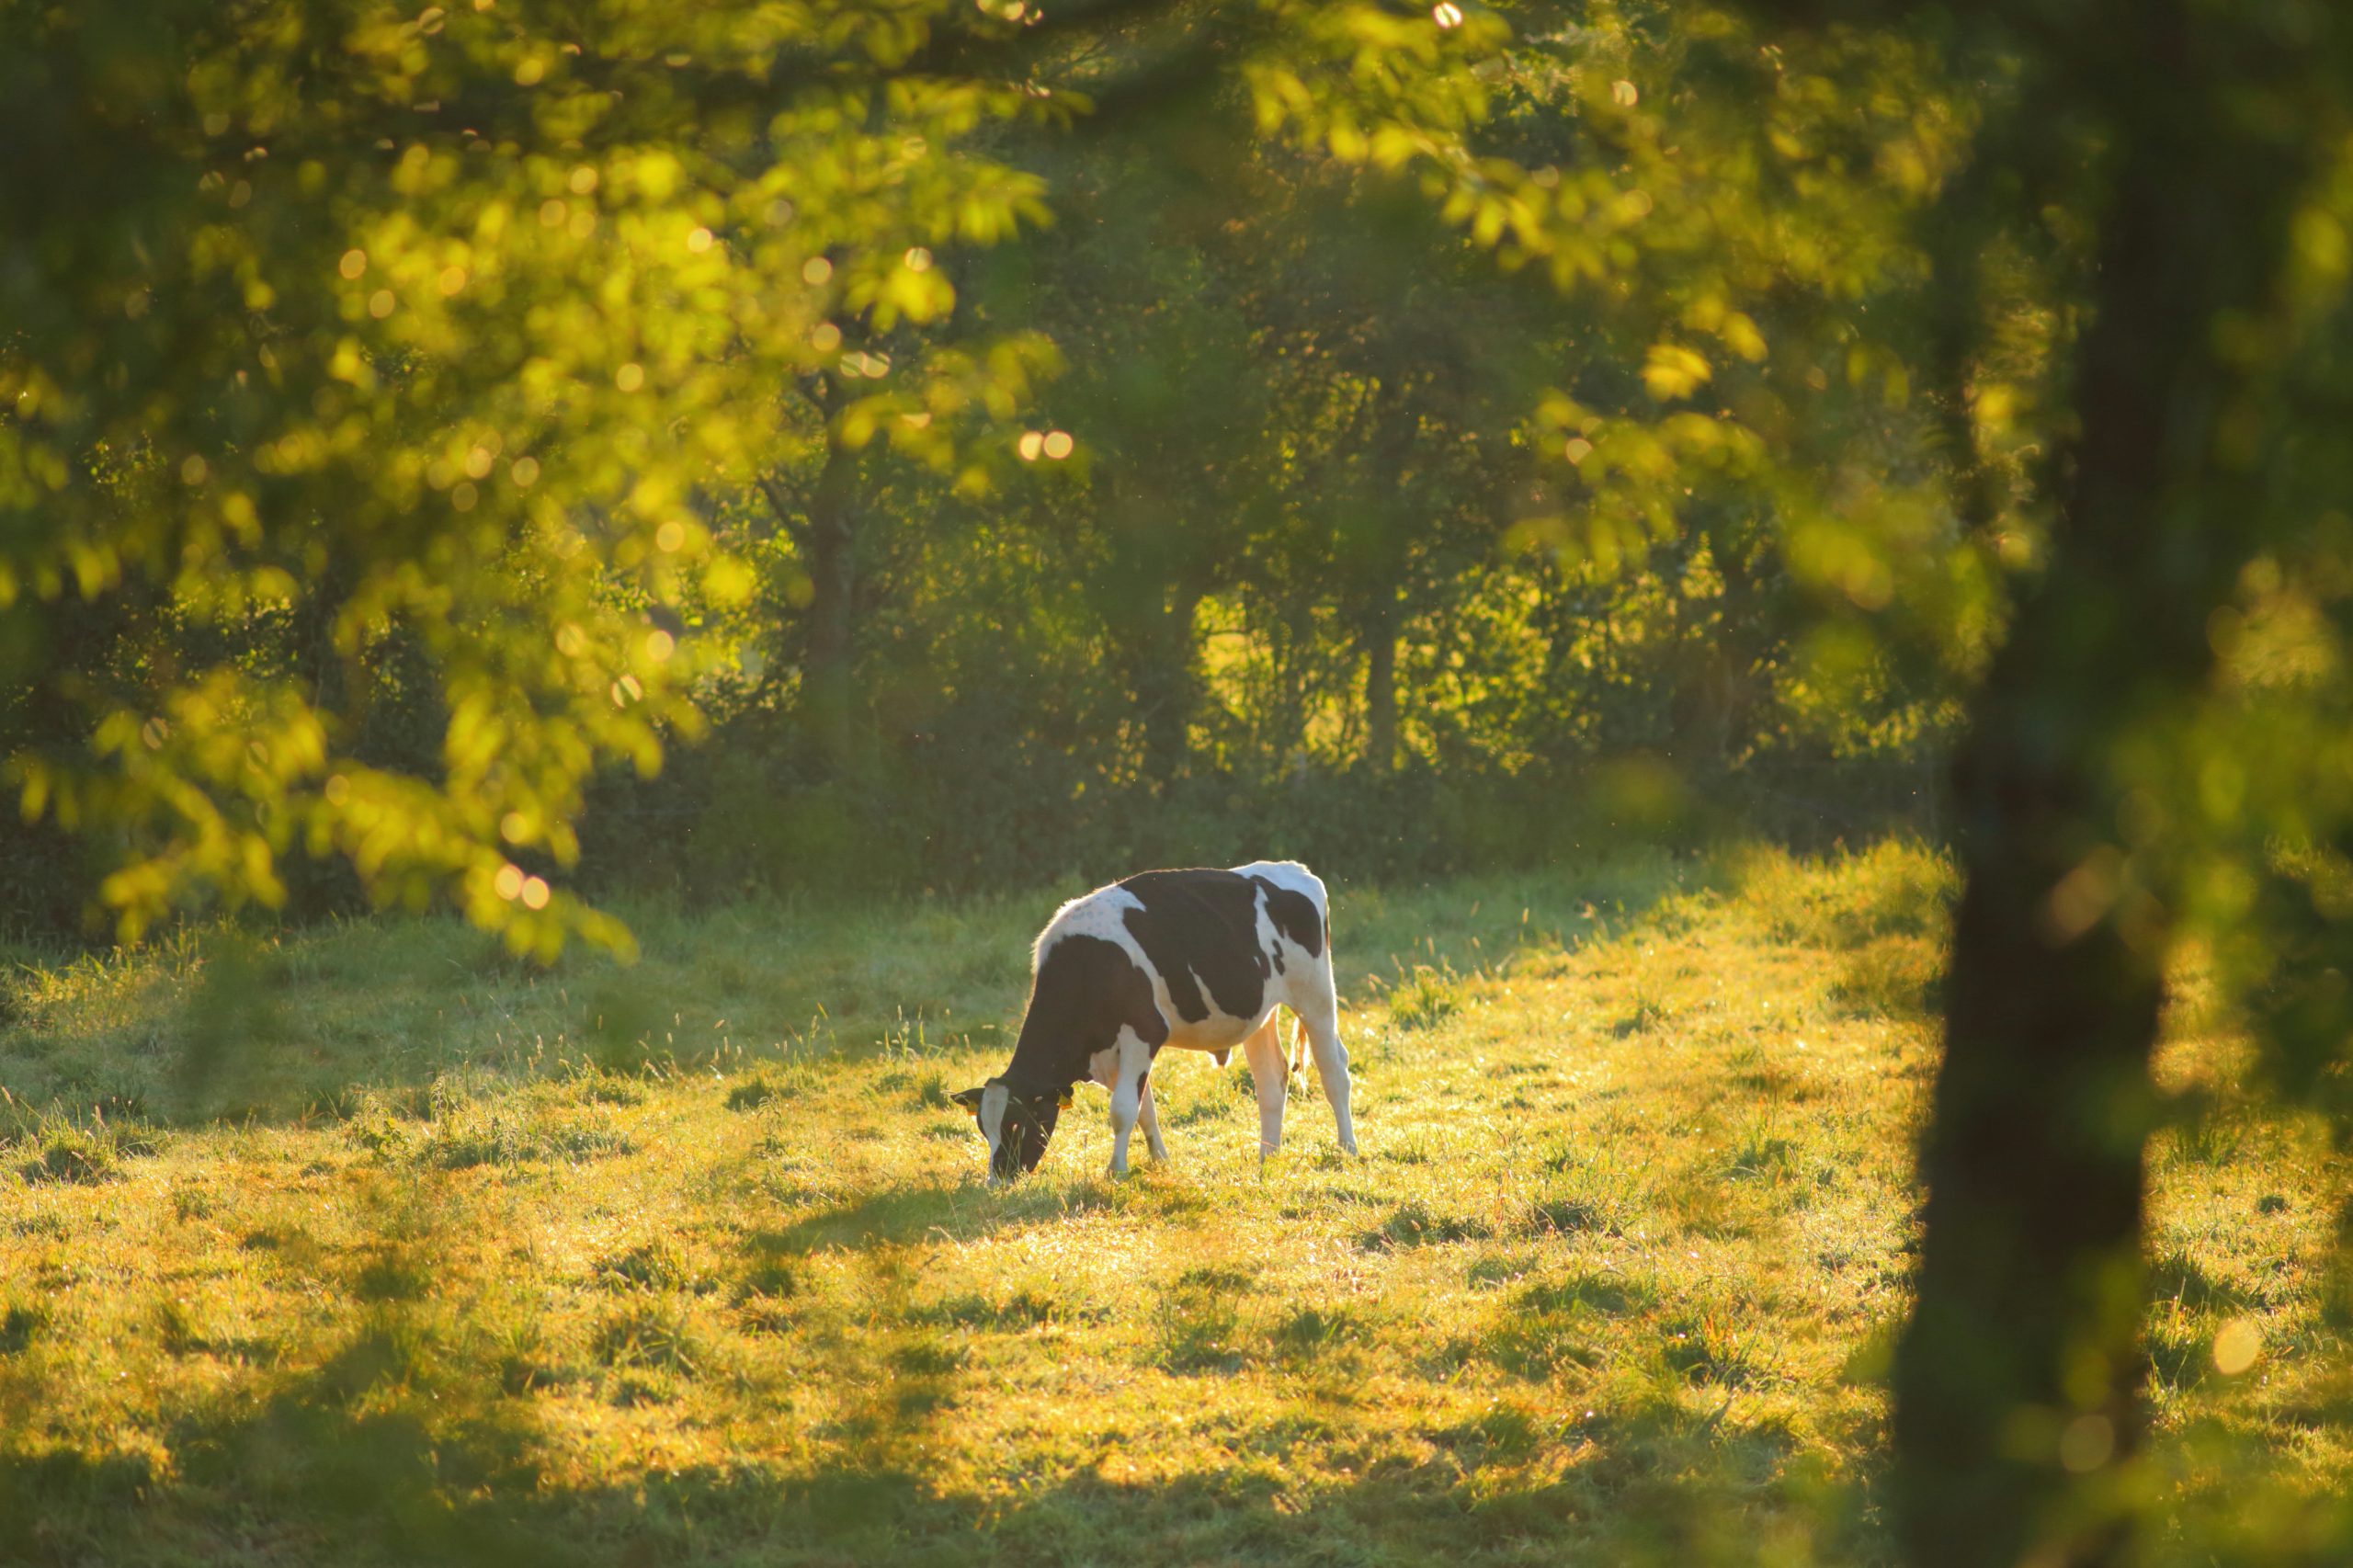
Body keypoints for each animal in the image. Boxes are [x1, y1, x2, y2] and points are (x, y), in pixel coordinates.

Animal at [952, 860, 1357, 1181]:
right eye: (983, 1128)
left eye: (1016, 1123)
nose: (996, 1179)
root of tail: (1293, 869)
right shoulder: (1114, 1052)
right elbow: (1143, 1109)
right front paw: (1160, 1162)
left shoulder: (1144, 1032)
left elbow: (1122, 1110)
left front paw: (1115, 1171)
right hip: (1259, 1012)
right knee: (1271, 1079)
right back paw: (1267, 1157)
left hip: (1316, 996)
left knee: (1334, 1072)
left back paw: (1347, 1148)